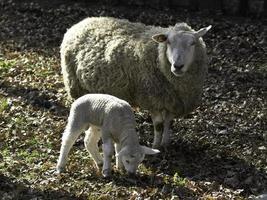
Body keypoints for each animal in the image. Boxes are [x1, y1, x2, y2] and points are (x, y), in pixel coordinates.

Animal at [60, 16, 211, 148]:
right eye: (168, 42)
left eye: (192, 43)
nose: (177, 66)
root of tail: (81, 22)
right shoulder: (152, 99)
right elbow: (159, 126)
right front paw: (156, 146)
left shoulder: (172, 101)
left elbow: (168, 123)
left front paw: (166, 143)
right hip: (76, 85)